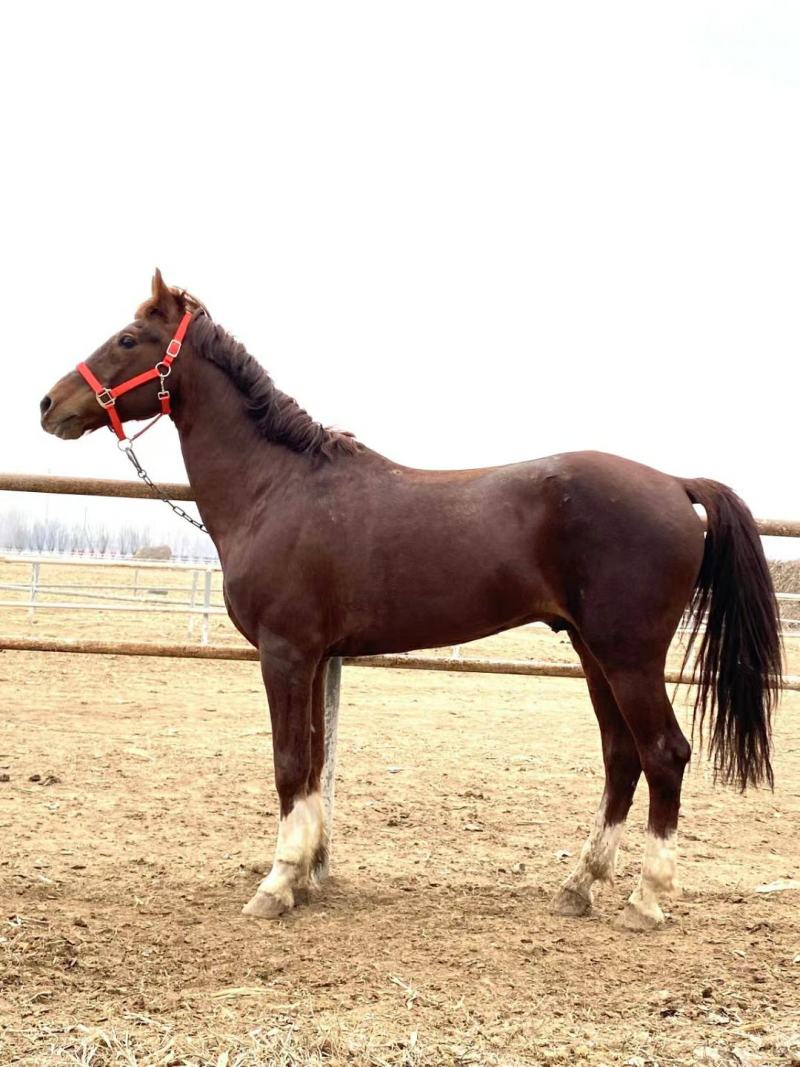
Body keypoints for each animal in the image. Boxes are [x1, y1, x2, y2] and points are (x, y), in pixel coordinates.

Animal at [40, 271, 782, 930]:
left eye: (129, 339)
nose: (48, 404)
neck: (276, 488)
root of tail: (674, 483)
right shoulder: (315, 658)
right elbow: (312, 764)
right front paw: (303, 876)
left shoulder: (285, 654)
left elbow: (288, 763)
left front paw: (276, 886)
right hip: (594, 653)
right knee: (621, 758)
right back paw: (578, 887)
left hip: (628, 656)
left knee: (664, 754)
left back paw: (645, 900)